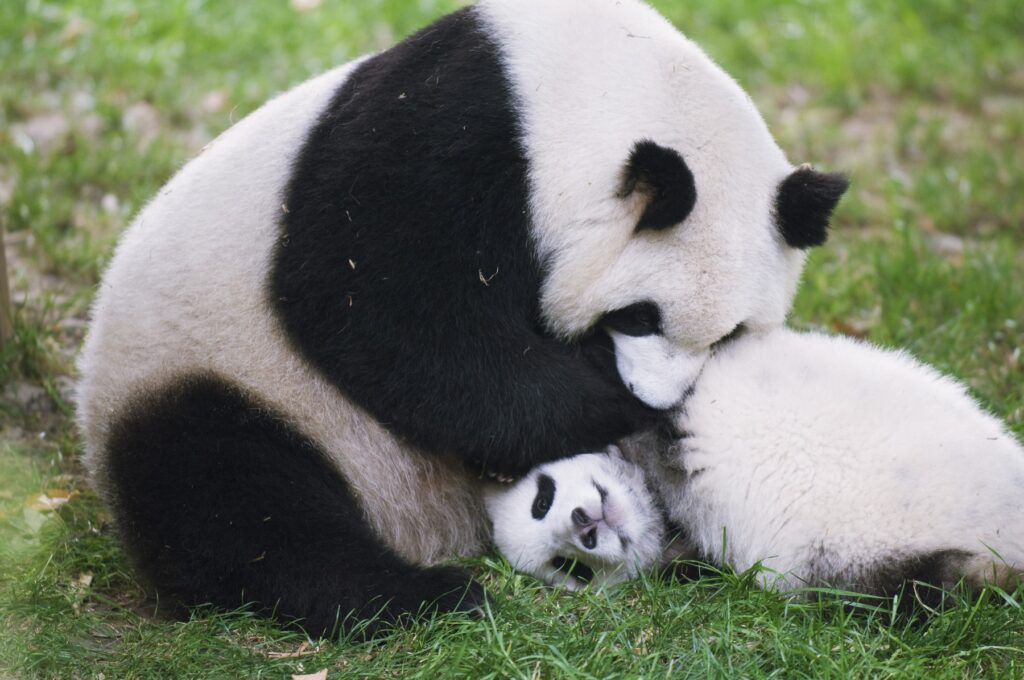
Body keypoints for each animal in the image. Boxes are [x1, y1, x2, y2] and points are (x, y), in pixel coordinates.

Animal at [76, 0, 848, 635]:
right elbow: (377, 315)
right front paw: (607, 403)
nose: (662, 399)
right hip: (213, 371)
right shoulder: (447, 143)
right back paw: (423, 596)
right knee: (235, 502)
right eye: (638, 318)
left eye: (731, 334)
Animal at [488, 329, 1024, 601]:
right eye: (569, 568)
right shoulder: (698, 548)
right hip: (867, 561)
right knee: (934, 587)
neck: (651, 498)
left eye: (541, 497)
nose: (583, 524)